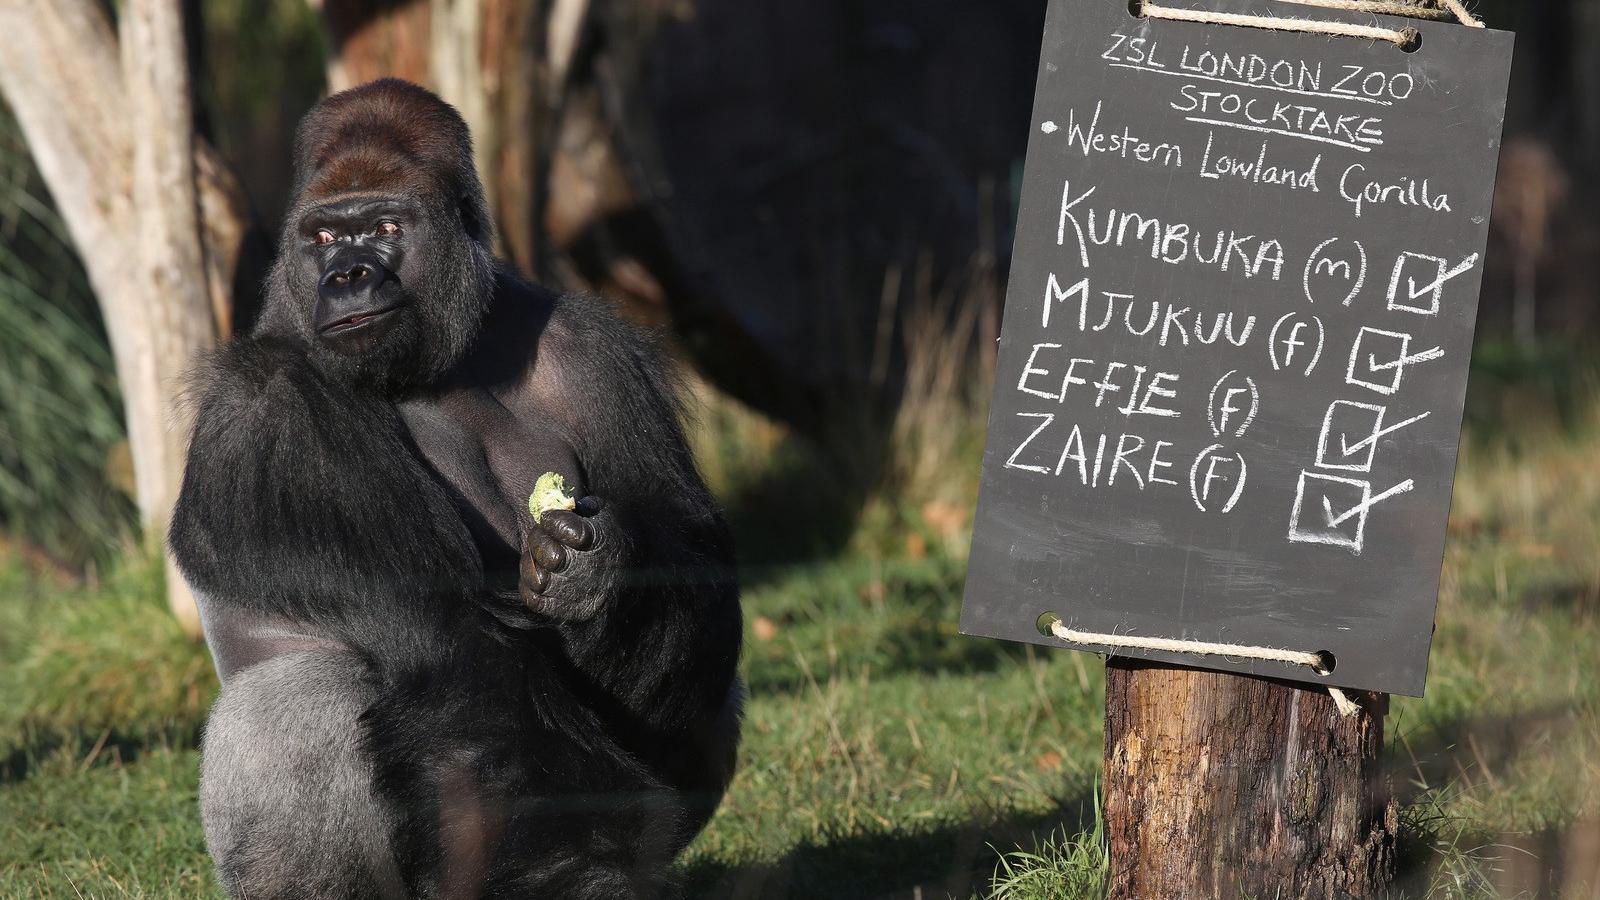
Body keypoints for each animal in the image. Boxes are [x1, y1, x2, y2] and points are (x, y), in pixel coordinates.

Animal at [168, 80, 742, 890]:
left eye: (384, 228)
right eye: (323, 238)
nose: (347, 276)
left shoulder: (595, 350)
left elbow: (689, 547)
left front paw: (602, 571)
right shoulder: (263, 412)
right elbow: (457, 650)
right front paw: (581, 879)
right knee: (299, 698)